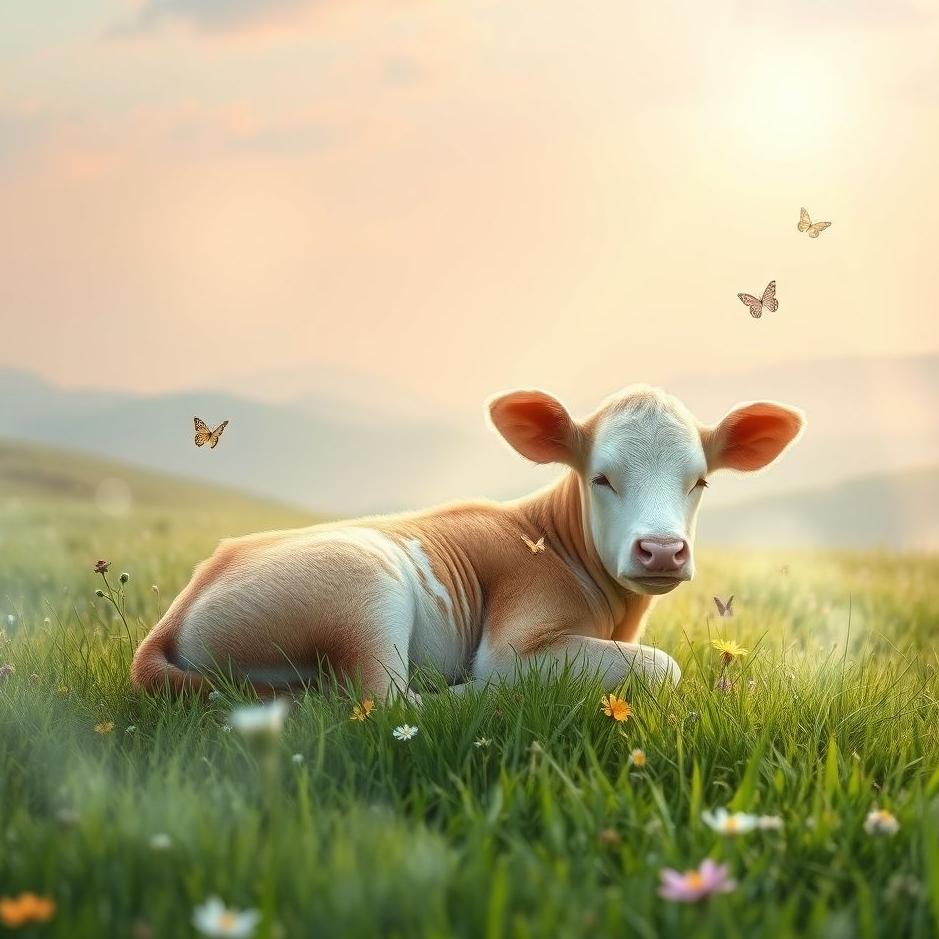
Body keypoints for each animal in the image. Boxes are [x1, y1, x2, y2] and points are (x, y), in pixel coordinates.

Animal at [131, 385, 804, 699]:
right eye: (602, 477)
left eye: (701, 480)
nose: (662, 550)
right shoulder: (516, 638)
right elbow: (663, 666)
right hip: (362, 588)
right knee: (383, 705)